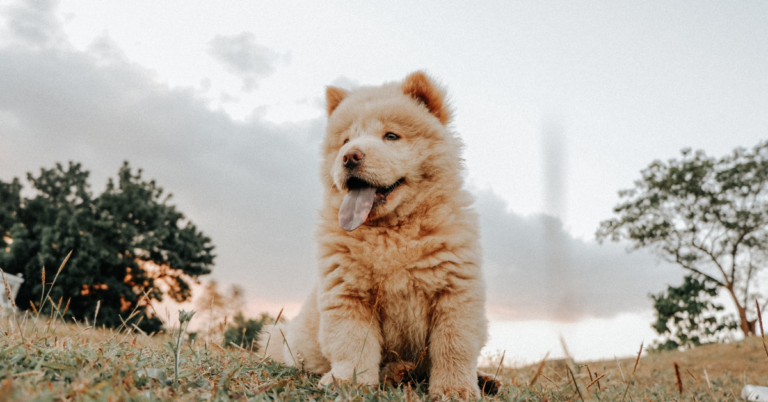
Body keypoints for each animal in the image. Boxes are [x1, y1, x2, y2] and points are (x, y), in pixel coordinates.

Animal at [262, 71, 492, 398]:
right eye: (345, 141)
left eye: (391, 136)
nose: (349, 156)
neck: (391, 233)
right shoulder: (348, 292)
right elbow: (352, 344)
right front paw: (349, 382)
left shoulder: (456, 291)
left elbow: (453, 346)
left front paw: (455, 390)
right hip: (285, 339)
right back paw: (398, 372)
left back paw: (484, 380)